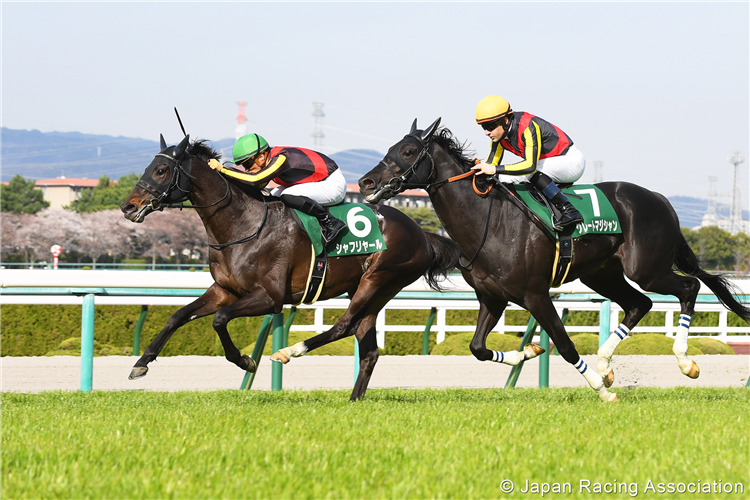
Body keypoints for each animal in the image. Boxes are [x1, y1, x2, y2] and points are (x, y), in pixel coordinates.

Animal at [120, 133, 462, 398]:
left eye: (161, 170)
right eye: (148, 167)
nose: (128, 207)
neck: (244, 224)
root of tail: (421, 233)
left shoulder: (269, 297)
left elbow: (219, 320)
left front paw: (246, 361)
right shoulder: (224, 290)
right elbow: (177, 316)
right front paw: (141, 363)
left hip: (379, 278)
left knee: (345, 325)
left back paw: (290, 351)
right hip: (374, 290)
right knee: (368, 347)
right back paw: (354, 399)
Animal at [360, 118, 750, 402]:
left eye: (408, 150)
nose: (366, 182)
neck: (490, 220)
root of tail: (660, 198)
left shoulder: (535, 295)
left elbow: (564, 345)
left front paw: (601, 391)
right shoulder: (493, 297)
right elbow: (477, 348)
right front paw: (529, 352)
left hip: (646, 268)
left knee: (689, 287)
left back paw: (685, 362)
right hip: (603, 274)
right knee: (640, 303)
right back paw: (606, 364)